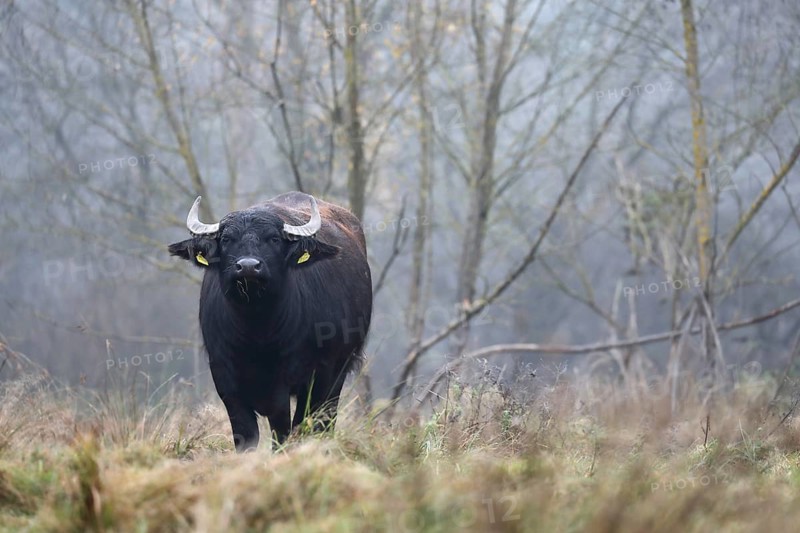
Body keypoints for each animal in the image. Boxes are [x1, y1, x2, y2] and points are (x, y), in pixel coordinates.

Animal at [168, 192, 372, 452]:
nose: (248, 266)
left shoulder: (300, 380)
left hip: (338, 369)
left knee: (323, 418)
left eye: (274, 239)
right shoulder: (225, 380)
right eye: (226, 239)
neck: (256, 332)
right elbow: (245, 436)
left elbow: (286, 430)